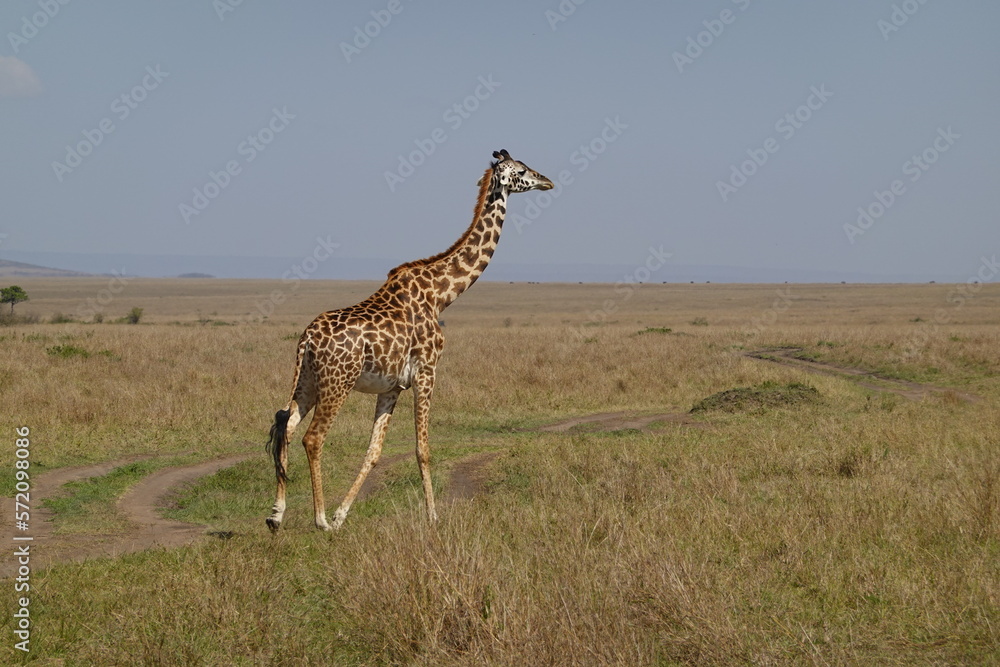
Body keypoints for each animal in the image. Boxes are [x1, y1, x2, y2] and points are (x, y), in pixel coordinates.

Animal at [265, 149, 553, 532]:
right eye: (521, 170)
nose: (547, 181)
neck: (441, 294)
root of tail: (307, 339)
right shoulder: (427, 372)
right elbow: (422, 448)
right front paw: (432, 516)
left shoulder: (392, 387)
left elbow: (373, 452)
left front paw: (343, 515)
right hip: (337, 383)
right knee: (313, 438)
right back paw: (319, 519)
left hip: (307, 382)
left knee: (285, 424)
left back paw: (276, 515)